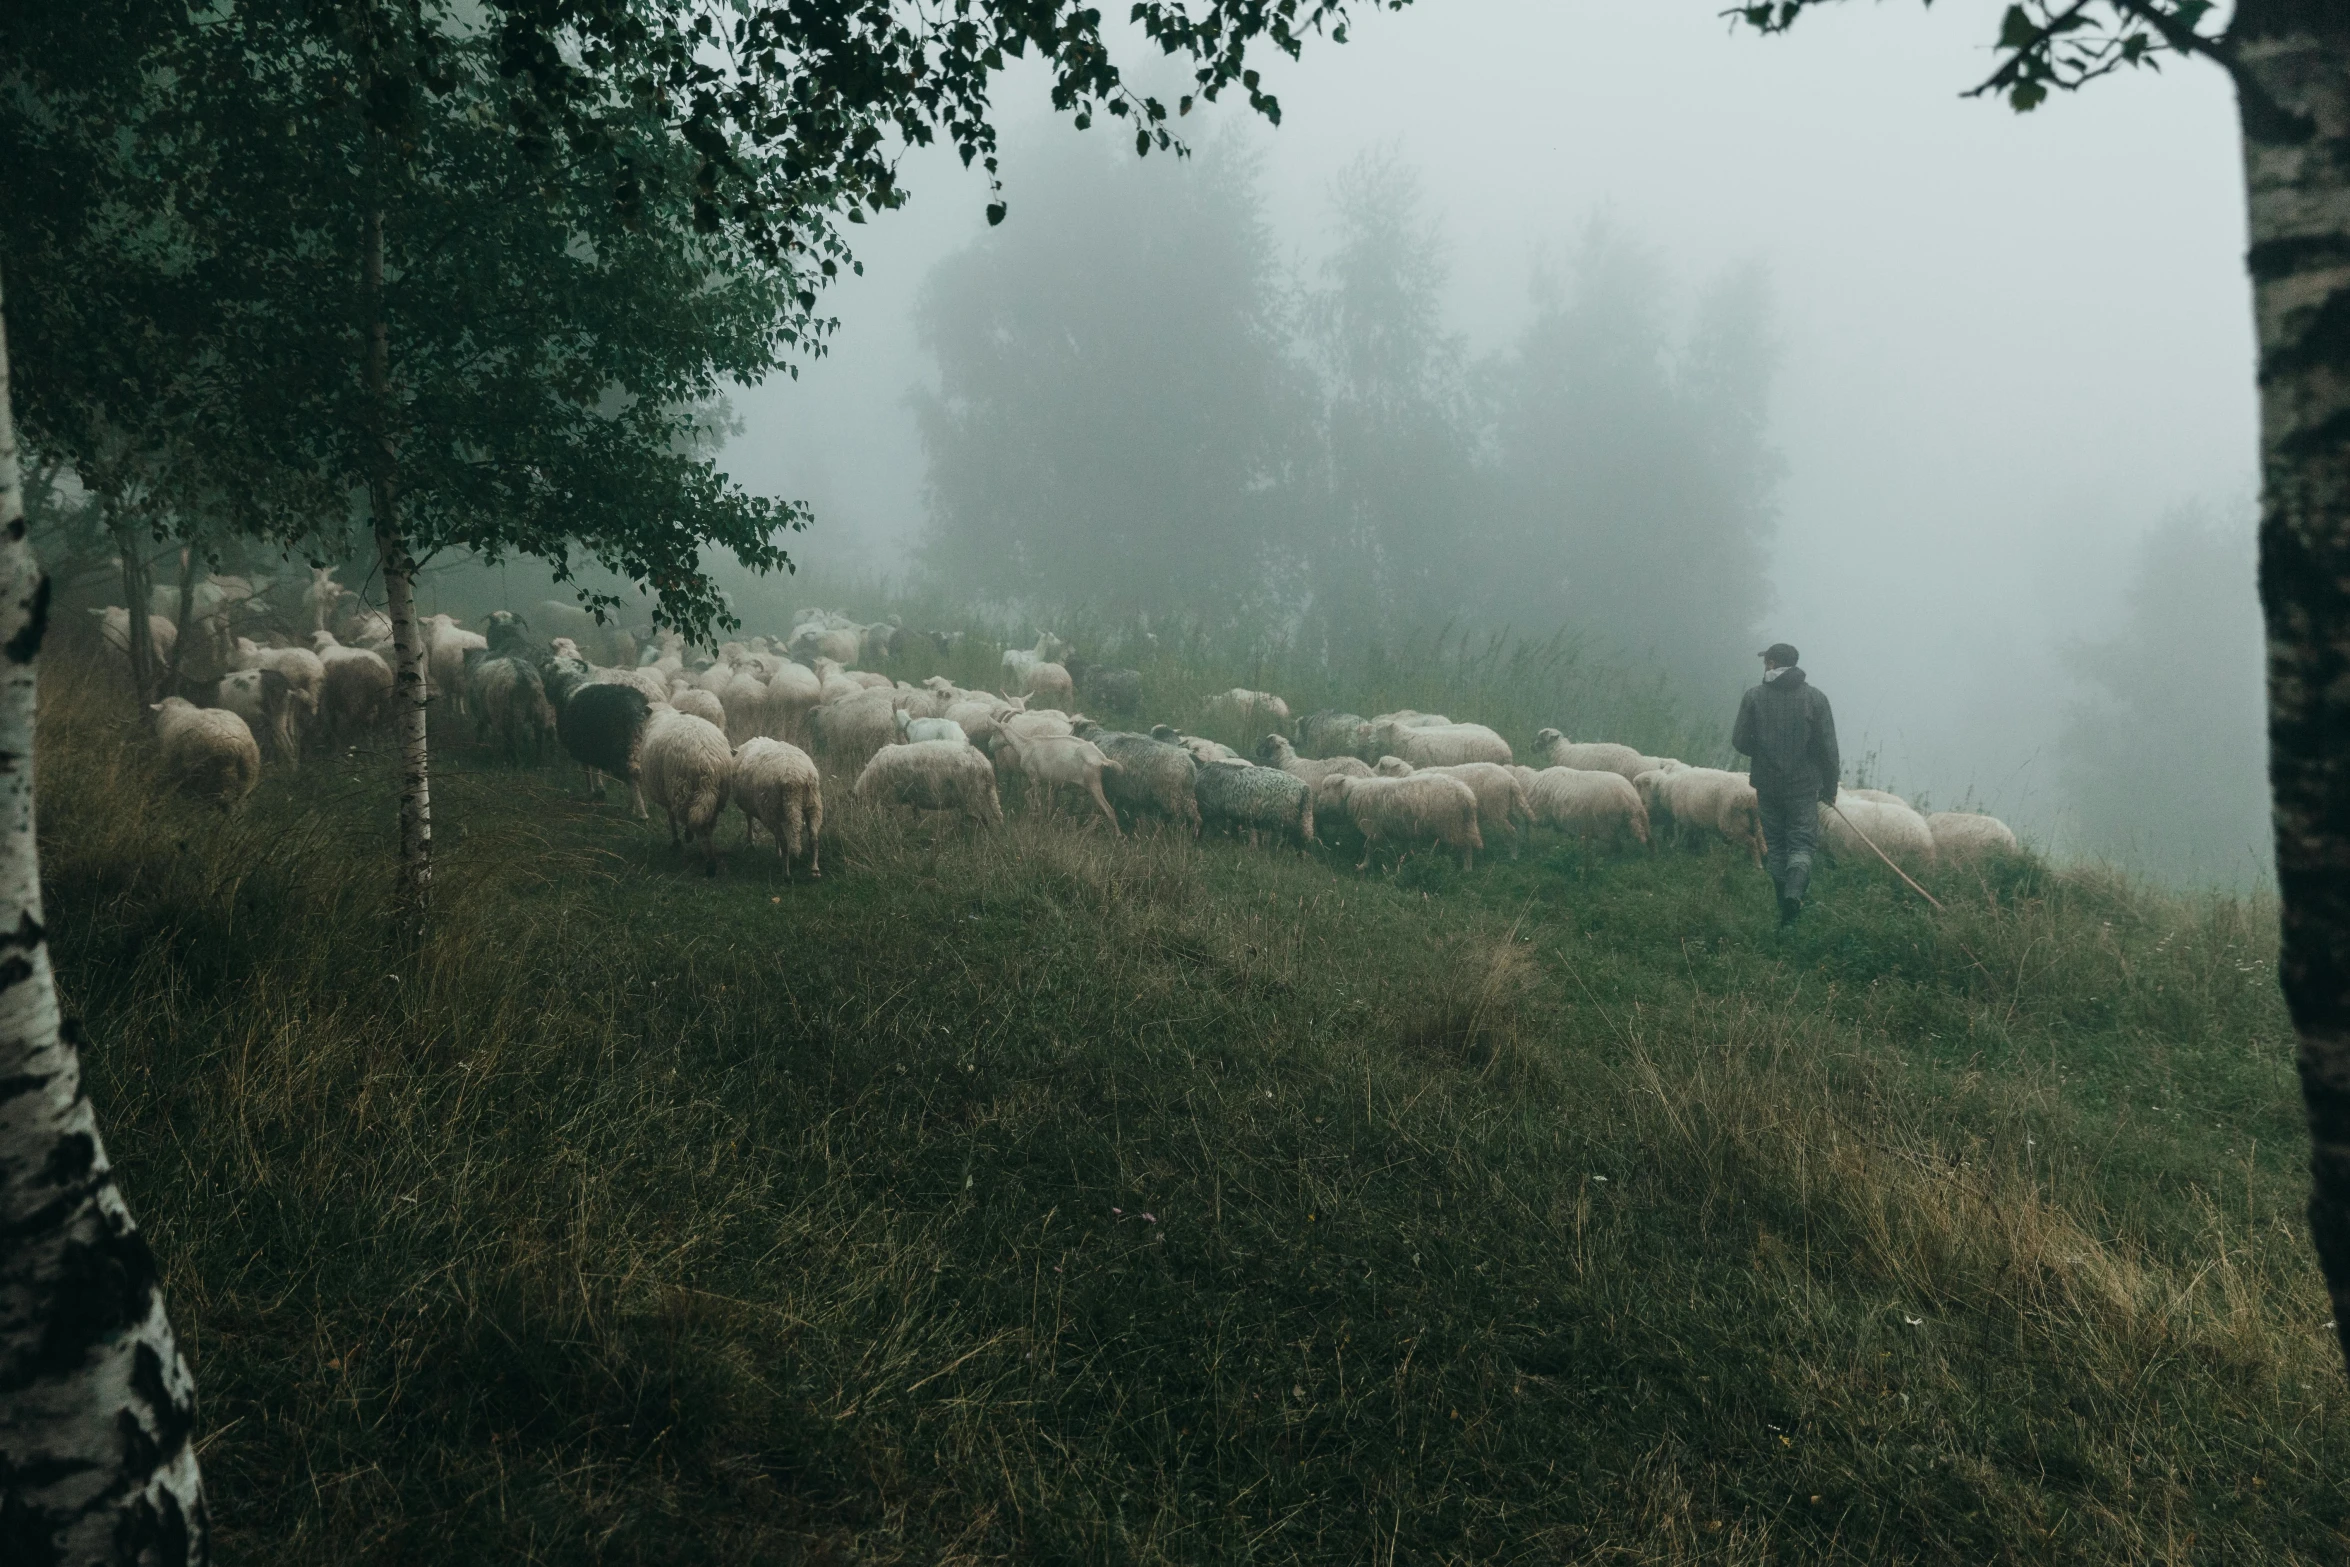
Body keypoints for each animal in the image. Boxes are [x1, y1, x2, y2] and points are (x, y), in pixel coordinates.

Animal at [556, 681, 653, 817]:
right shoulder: (597, 750)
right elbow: (597, 770)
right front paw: (599, 790)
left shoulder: (585, 748)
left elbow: (587, 771)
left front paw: (592, 791)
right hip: (637, 745)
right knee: (636, 772)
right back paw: (635, 808)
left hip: (619, 747)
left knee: (630, 773)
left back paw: (639, 812)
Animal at [733, 737, 827, 883]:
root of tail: (794, 777)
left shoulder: (749, 805)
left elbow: (749, 819)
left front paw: (750, 841)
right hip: (813, 804)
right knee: (813, 837)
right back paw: (815, 870)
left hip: (769, 809)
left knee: (784, 840)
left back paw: (786, 873)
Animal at [855, 737, 1001, 826]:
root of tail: (985, 764)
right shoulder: (913, 798)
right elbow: (916, 814)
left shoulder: (891, 797)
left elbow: (891, 816)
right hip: (976, 797)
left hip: (973, 796)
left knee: (984, 820)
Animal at [1325, 779, 1485, 878]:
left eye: (1327, 787)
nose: (1320, 803)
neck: (1352, 792)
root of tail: (1469, 796)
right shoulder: (1403, 829)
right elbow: (1405, 847)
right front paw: (1406, 860)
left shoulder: (1373, 827)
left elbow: (1369, 848)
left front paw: (1364, 865)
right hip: (1460, 825)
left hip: (1455, 825)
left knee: (1467, 847)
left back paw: (1466, 869)